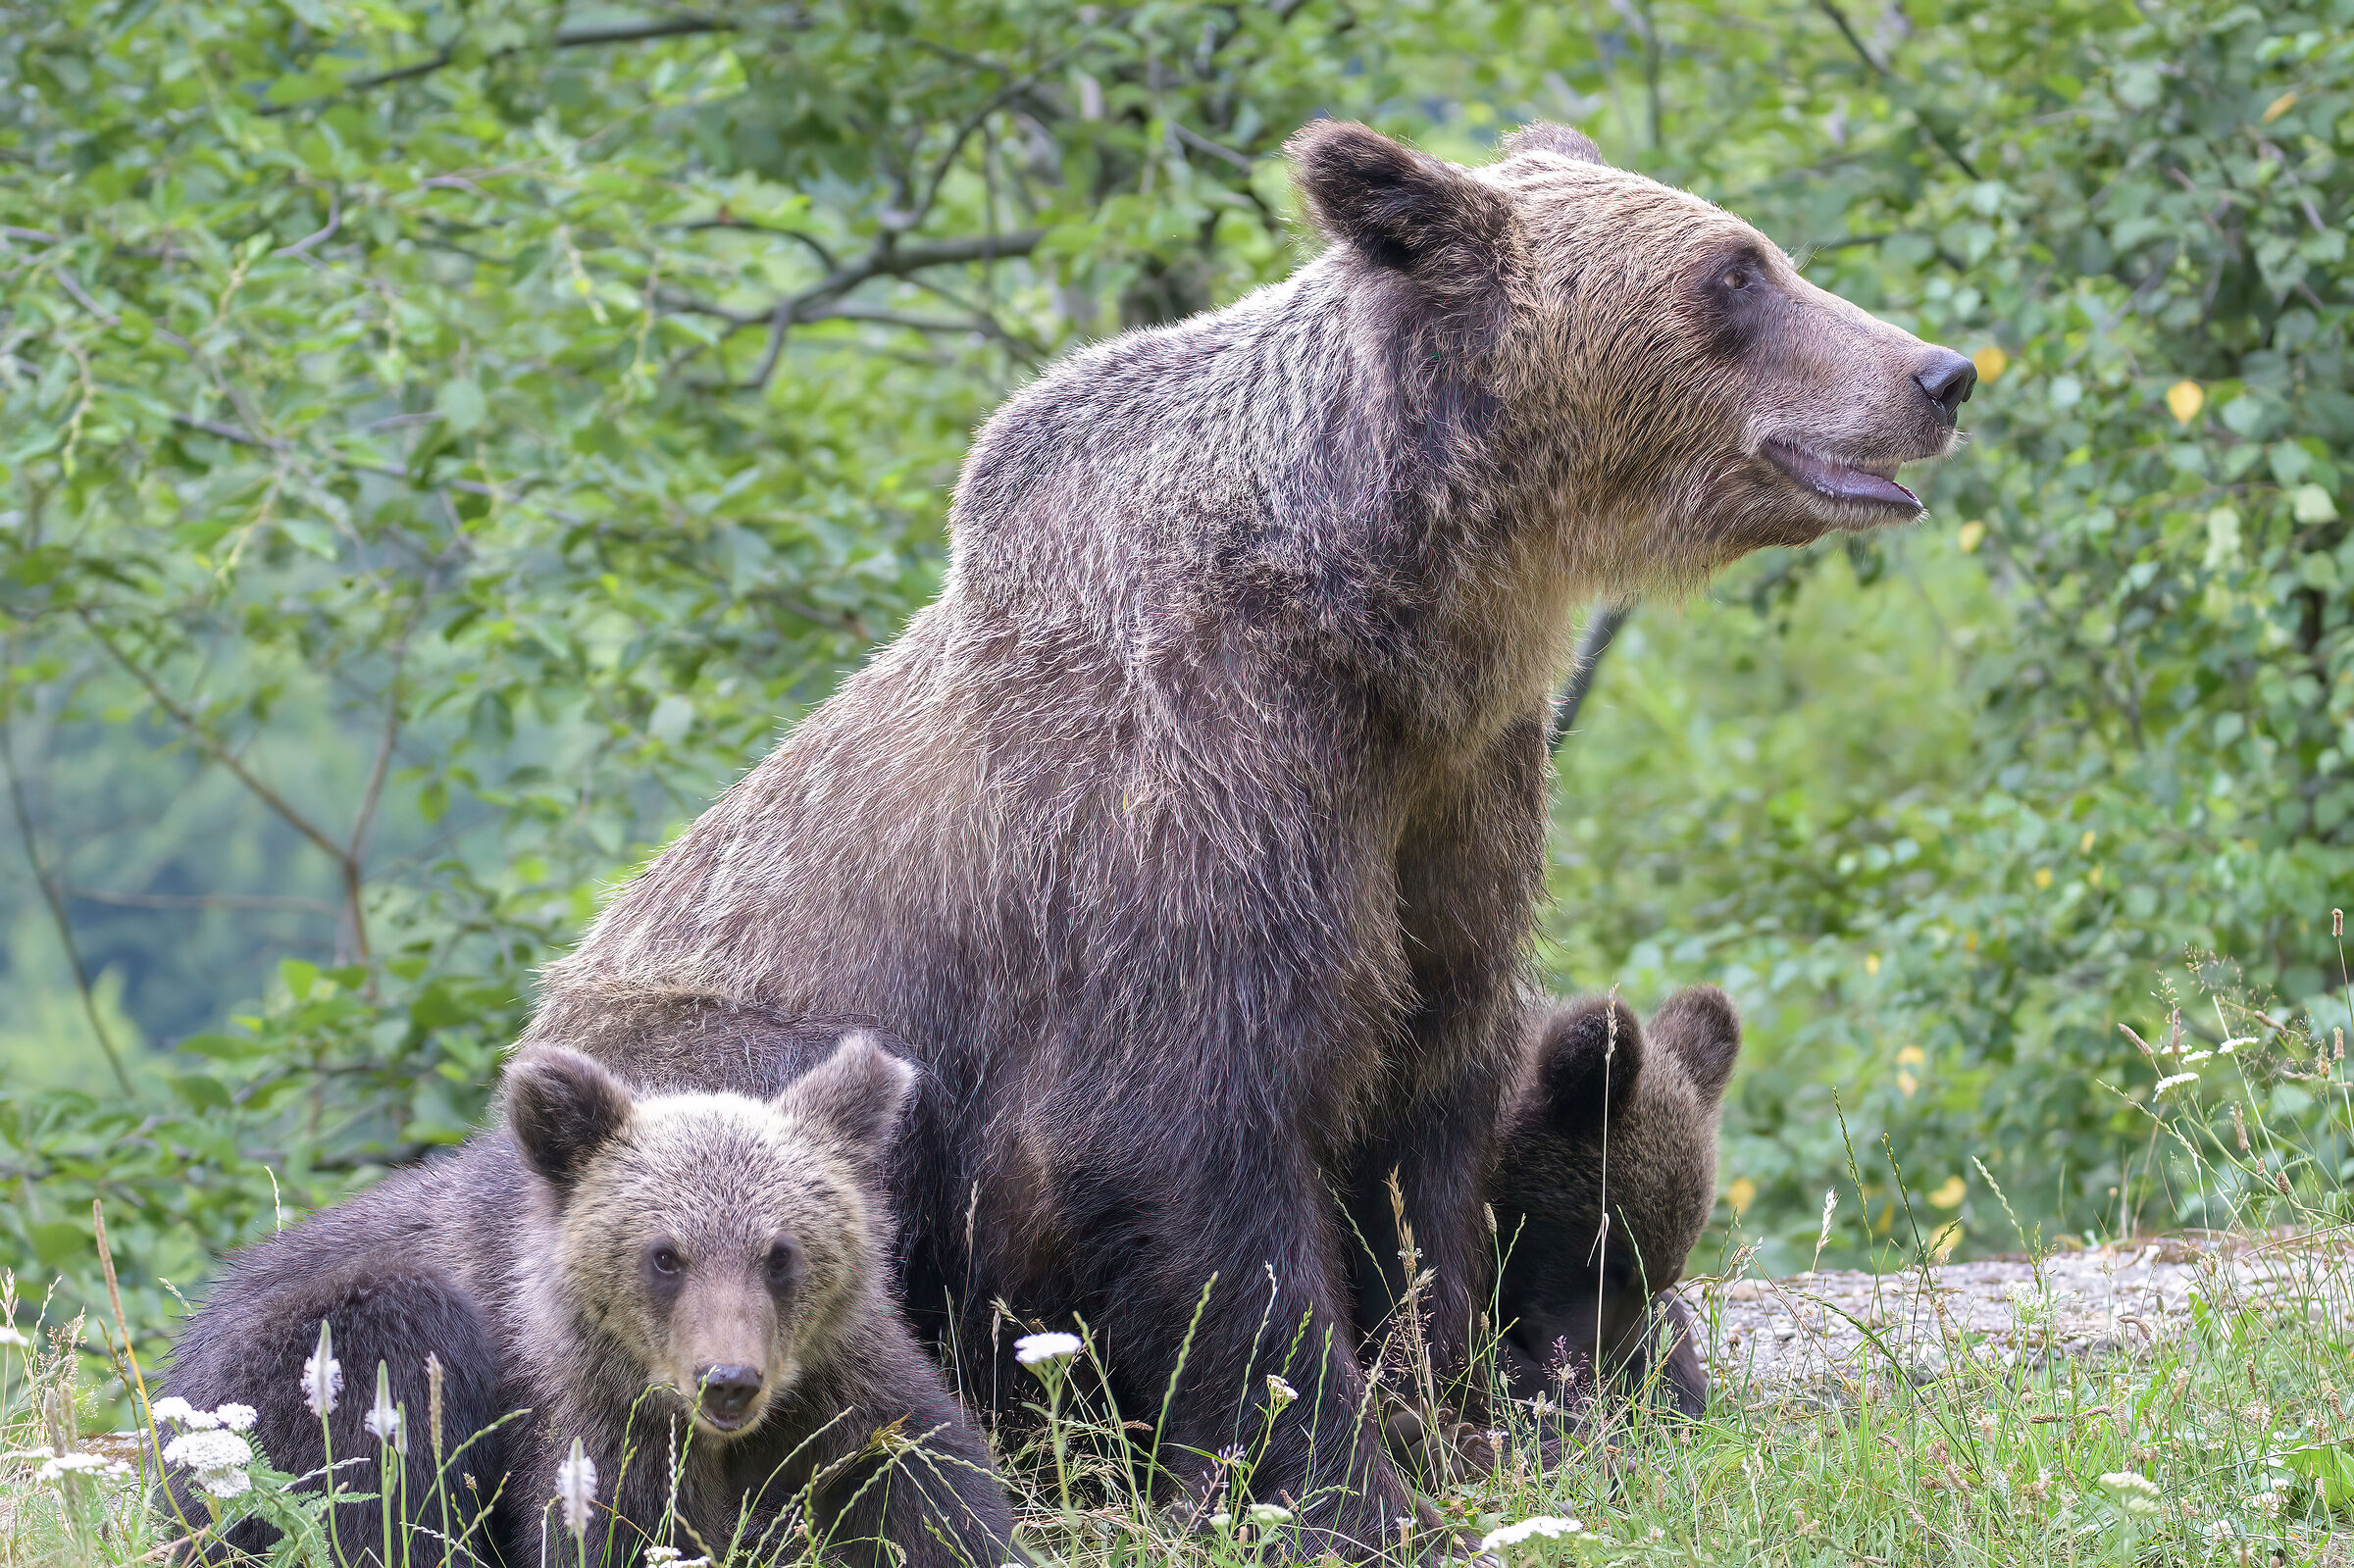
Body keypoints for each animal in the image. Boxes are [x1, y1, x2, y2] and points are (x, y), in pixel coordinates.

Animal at [159, 1033, 1013, 1568]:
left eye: (781, 1254)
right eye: (665, 1255)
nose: (728, 1380)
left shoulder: (845, 1400)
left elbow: (935, 1501)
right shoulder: (587, 1419)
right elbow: (595, 1531)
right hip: (284, 1388)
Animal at [518, 118, 1971, 1553]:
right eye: (1736, 272)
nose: (1938, 371)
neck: (1388, 628)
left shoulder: (1454, 809)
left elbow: (1426, 1141)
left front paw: (1456, 1413)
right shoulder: (1188, 795)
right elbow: (1187, 1150)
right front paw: (1346, 1488)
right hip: (723, 1058)